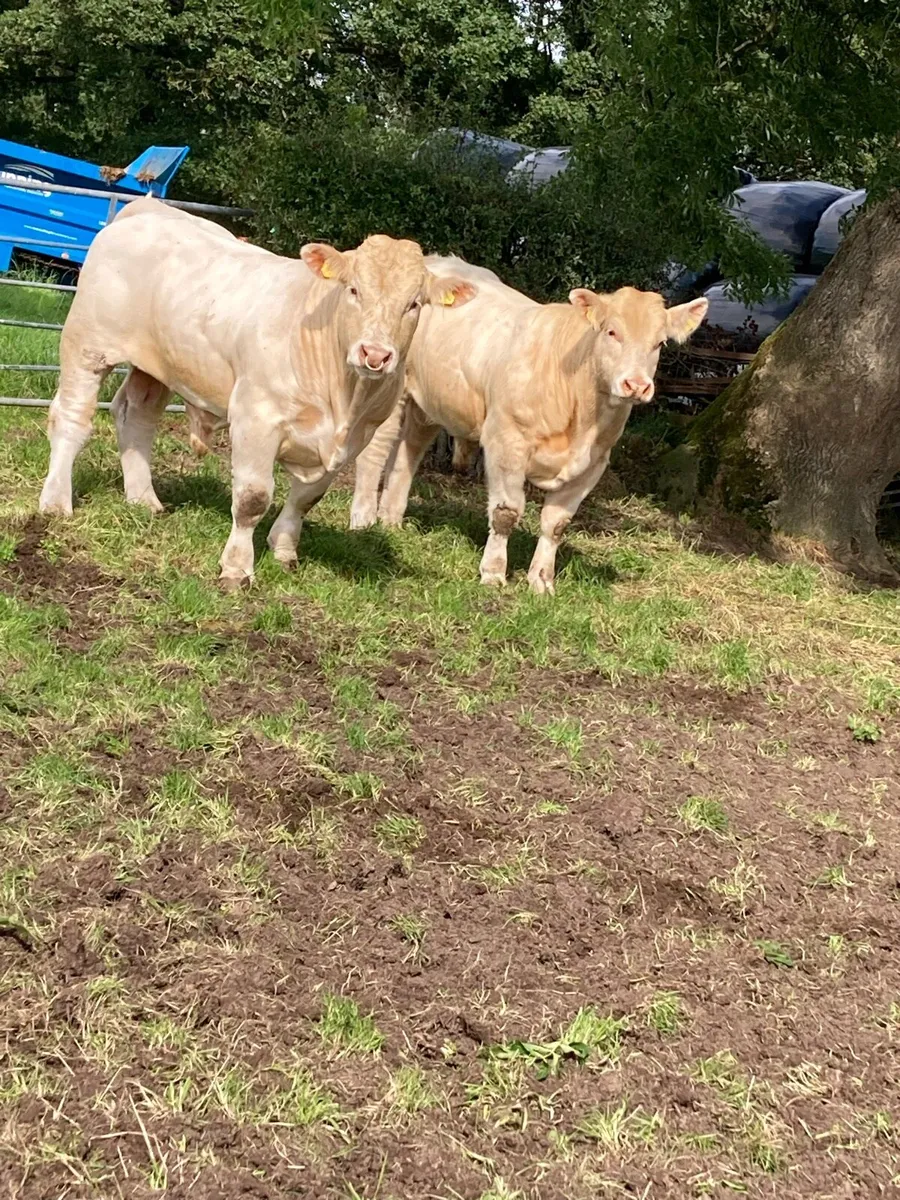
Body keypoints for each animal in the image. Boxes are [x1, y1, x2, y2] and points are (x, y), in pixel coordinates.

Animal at [38, 198, 475, 589]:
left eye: (414, 303)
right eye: (353, 290)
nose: (376, 354)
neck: (344, 397)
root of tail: (145, 208)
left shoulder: (356, 437)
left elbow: (307, 497)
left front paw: (283, 550)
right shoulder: (256, 416)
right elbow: (252, 498)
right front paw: (236, 569)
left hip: (157, 365)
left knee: (137, 417)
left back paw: (144, 500)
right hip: (87, 345)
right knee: (72, 418)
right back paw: (56, 502)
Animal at [351, 257, 707, 593]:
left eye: (660, 343)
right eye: (611, 332)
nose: (636, 385)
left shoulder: (594, 464)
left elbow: (556, 523)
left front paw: (541, 580)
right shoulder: (506, 442)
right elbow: (506, 512)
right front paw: (493, 572)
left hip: (431, 402)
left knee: (408, 453)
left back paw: (391, 520)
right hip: (388, 386)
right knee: (374, 453)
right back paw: (363, 521)